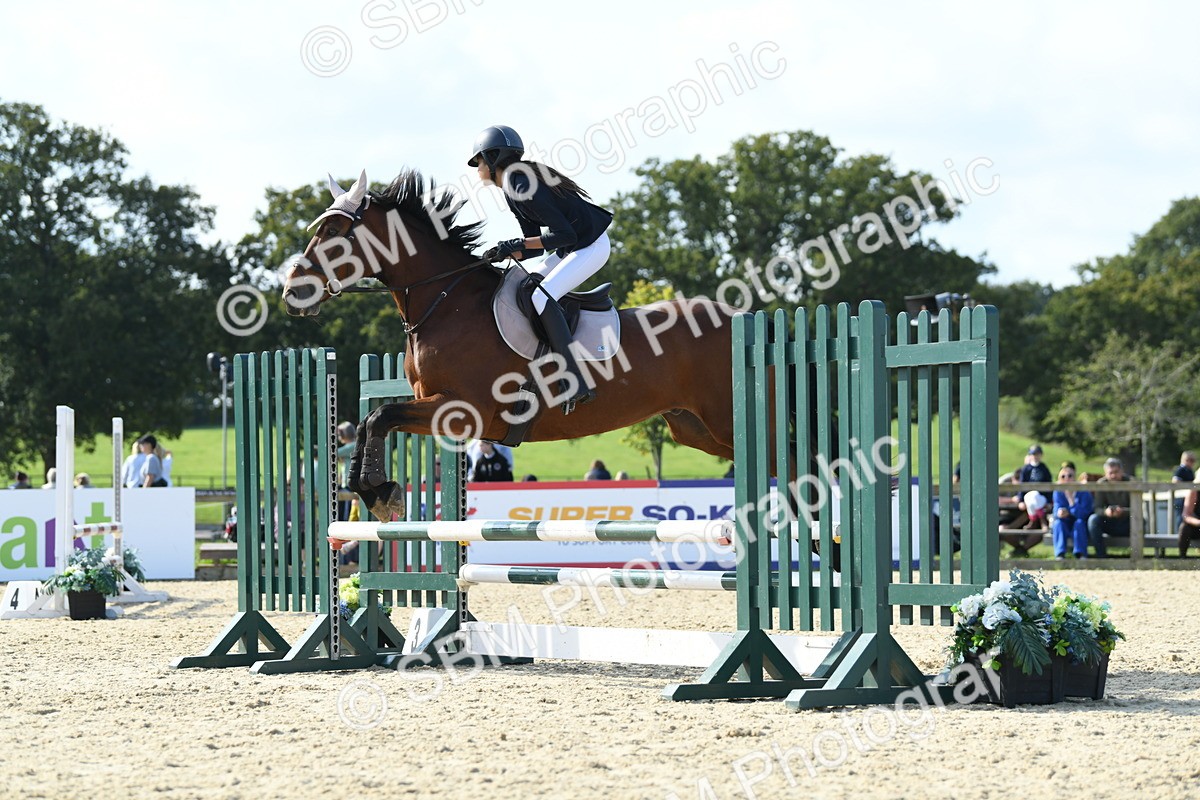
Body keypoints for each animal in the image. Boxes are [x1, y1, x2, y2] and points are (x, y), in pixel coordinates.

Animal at [283, 169, 742, 522]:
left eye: (335, 232)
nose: (292, 293)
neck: (446, 301)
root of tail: (739, 316)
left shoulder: (462, 408)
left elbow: (380, 416)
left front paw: (380, 490)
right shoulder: (439, 410)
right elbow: (370, 421)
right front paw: (376, 491)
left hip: (723, 420)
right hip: (694, 428)